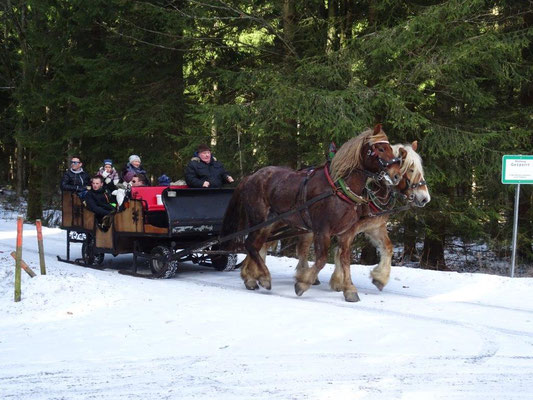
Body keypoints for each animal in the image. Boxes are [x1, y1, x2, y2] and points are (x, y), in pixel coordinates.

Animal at [220, 124, 400, 300]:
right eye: (381, 148)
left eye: (390, 148)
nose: (396, 175)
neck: (339, 188)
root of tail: (250, 177)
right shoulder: (322, 230)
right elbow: (321, 259)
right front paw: (303, 283)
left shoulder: (346, 232)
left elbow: (344, 259)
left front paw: (349, 289)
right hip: (259, 220)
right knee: (250, 245)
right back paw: (264, 277)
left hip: (268, 225)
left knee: (255, 246)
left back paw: (251, 278)